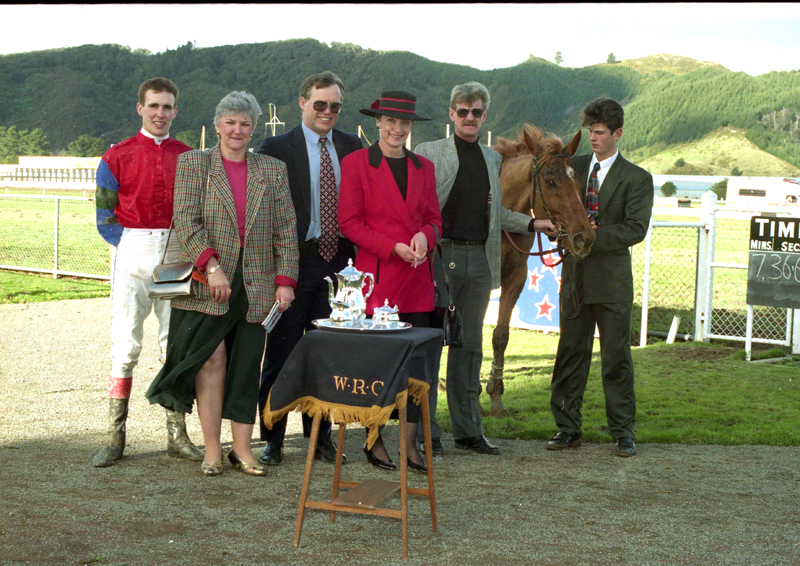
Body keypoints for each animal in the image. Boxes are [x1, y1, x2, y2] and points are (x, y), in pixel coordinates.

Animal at [482, 125, 592, 418]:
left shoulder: (516, 277)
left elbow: (500, 335)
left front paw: (496, 396)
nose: (584, 237)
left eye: (579, 182)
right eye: (551, 181)